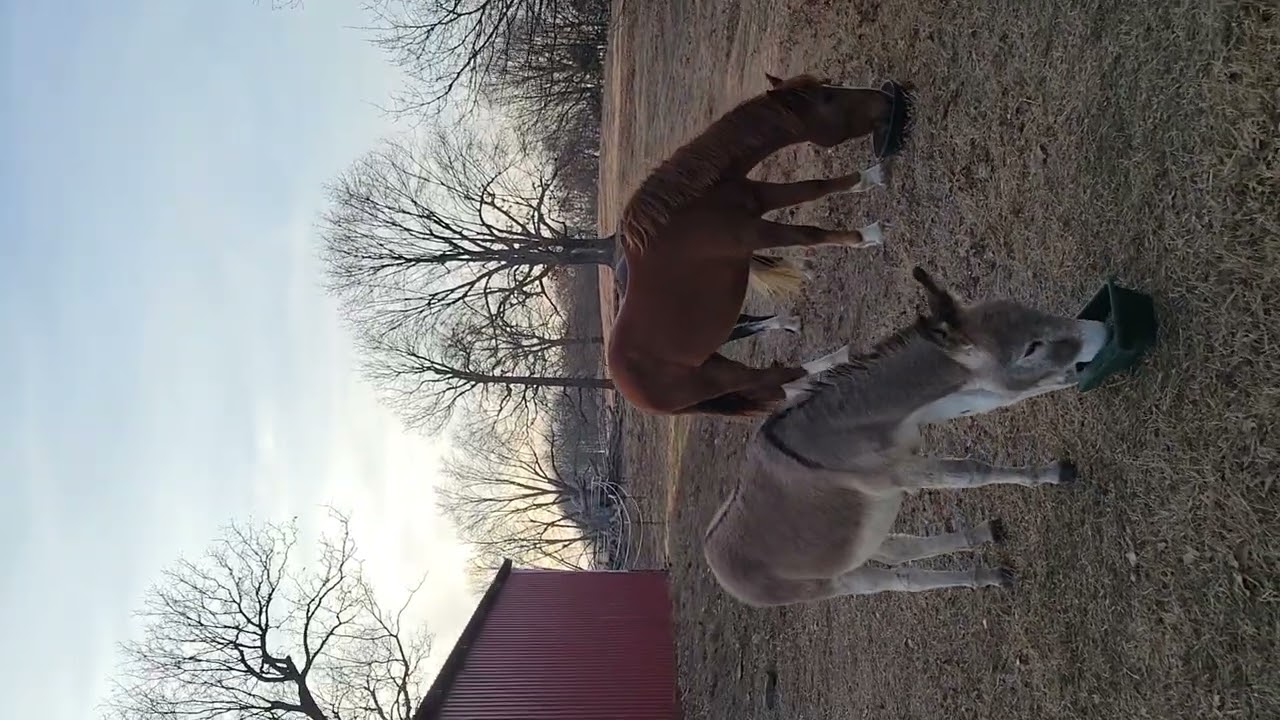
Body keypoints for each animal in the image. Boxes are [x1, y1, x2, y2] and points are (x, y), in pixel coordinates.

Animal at [703, 267, 1109, 606]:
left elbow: (995, 400)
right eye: (1030, 349)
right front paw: (1054, 473)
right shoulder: (899, 473)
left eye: (1031, 310)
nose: (1102, 332)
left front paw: (1069, 383)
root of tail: (711, 555)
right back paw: (986, 576)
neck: (845, 428)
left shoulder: (929, 414)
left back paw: (981, 538)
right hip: (831, 581)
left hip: (866, 540)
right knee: (898, 580)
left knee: (900, 551)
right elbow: (971, 470)